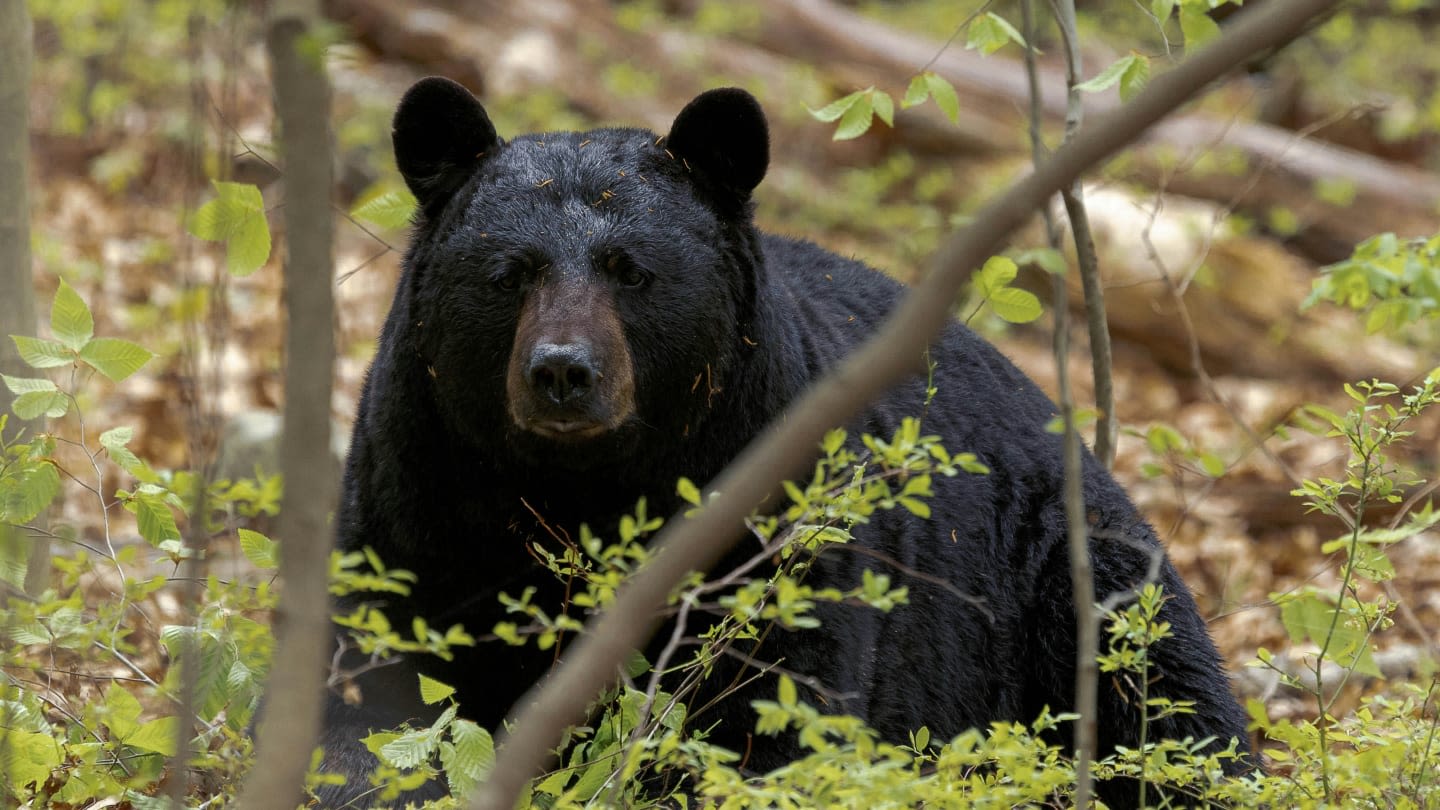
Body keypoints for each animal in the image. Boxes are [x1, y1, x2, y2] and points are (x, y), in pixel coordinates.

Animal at [318, 77, 1249, 807]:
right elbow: (374, 693)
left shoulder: (773, 513)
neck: (584, 486)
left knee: (1168, 706)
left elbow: (771, 710)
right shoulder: (421, 493)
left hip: (1067, 582)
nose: (562, 372)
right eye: (510, 273)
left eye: (631, 270)